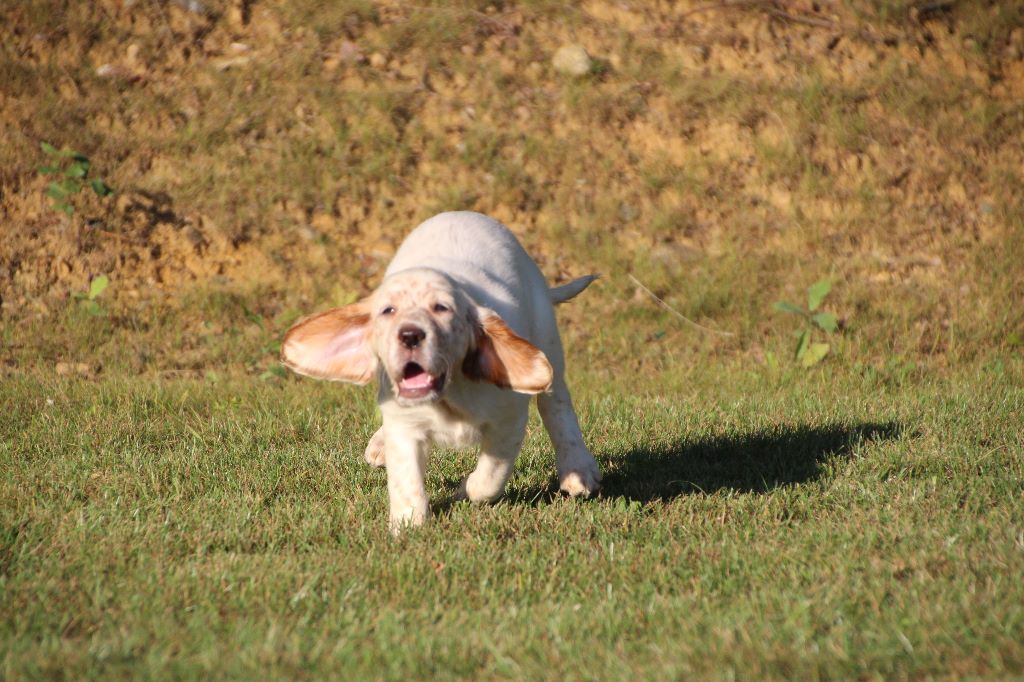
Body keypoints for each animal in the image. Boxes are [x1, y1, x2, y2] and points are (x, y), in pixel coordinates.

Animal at [280, 209, 598, 528]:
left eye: (441, 308)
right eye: (388, 311)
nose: (410, 335)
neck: (448, 397)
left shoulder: (508, 421)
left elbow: (490, 476)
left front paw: (466, 490)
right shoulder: (404, 426)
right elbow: (406, 480)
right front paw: (408, 524)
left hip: (547, 338)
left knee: (557, 407)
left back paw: (578, 471)